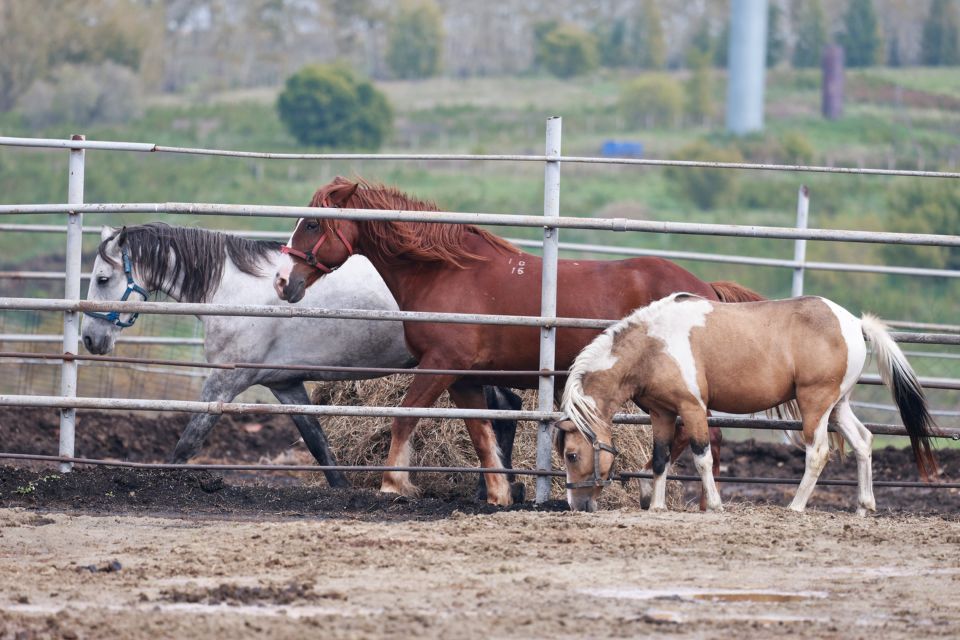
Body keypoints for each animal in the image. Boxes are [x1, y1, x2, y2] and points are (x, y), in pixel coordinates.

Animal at [81, 223, 523, 495]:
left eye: (103, 279)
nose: (89, 338)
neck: (234, 292)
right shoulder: (285, 384)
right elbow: (319, 445)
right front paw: (343, 491)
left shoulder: (223, 383)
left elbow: (187, 443)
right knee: (506, 408)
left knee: (502, 408)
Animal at [273, 177, 765, 506]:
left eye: (313, 224)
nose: (283, 283)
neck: (446, 272)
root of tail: (703, 288)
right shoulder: (464, 378)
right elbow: (481, 433)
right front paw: (499, 492)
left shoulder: (440, 365)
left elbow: (404, 417)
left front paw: (393, 483)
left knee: (703, 435)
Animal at [556, 293, 940, 515]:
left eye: (571, 455)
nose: (577, 505)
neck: (655, 344)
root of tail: (854, 323)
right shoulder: (662, 412)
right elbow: (661, 458)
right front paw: (658, 506)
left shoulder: (693, 409)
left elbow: (702, 457)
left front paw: (714, 505)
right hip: (838, 405)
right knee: (863, 442)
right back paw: (863, 506)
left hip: (815, 403)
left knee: (817, 453)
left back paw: (795, 507)